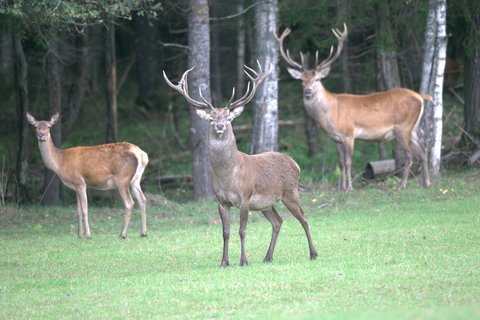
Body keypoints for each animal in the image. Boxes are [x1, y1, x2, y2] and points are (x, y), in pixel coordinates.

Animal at [163, 62, 316, 264]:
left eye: (228, 117)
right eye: (211, 118)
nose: (220, 125)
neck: (227, 175)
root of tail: (295, 163)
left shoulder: (245, 196)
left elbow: (242, 231)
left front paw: (243, 261)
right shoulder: (221, 201)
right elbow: (225, 232)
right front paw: (224, 262)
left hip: (290, 192)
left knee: (304, 217)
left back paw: (313, 253)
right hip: (266, 203)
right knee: (278, 221)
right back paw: (267, 257)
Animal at [276, 25, 434, 191]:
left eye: (317, 79)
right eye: (301, 80)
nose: (308, 91)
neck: (329, 114)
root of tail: (420, 96)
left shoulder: (349, 134)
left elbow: (348, 162)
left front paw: (349, 188)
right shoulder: (336, 138)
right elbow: (340, 163)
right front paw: (340, 188)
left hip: (403, 127)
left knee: (410, 155)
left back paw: (402, 185)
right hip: (413, 128)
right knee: (423, 150)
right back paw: (426, 183)